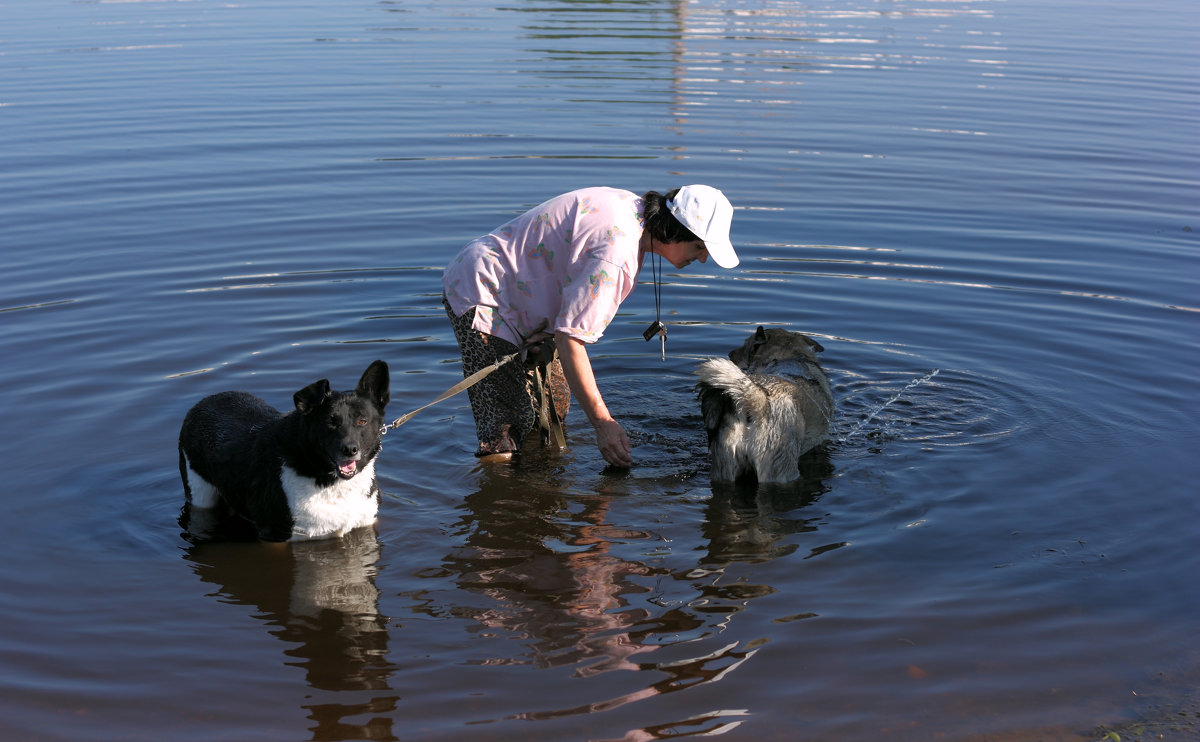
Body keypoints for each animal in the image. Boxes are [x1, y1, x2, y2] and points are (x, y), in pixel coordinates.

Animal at [177, 360, 388, 540]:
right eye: (330, 421)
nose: (350, 449)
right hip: (200, 492)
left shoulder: (365, 523)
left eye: (362, 421)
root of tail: (202, 403)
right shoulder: (276, 534)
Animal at [696, 324, 835, 480]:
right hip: (779, 470)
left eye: (746, 344)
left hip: (724, 468)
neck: (785, 356)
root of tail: (755, 400)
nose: (730, 354)